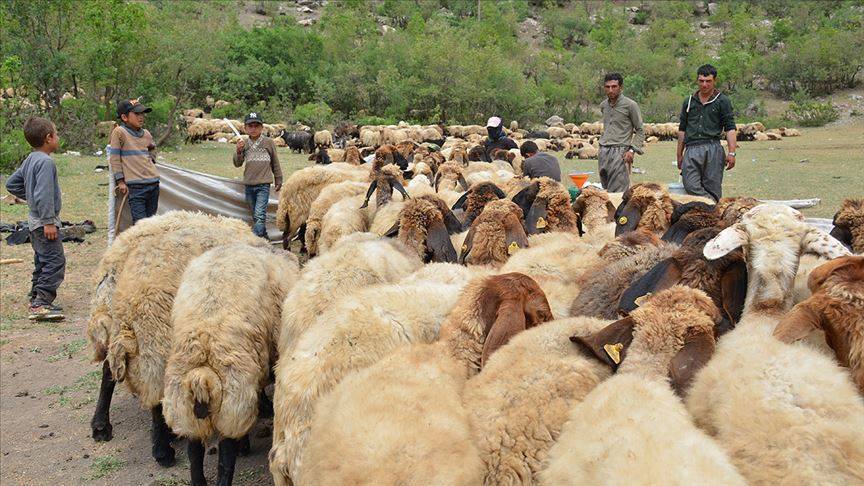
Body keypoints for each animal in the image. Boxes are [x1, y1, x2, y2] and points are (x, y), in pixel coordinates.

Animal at [89, 212, 266, 468]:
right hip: (156, 339)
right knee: (155, 395)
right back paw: (162, 450)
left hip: (127, 336)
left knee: (109, 371)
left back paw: (101, 425)